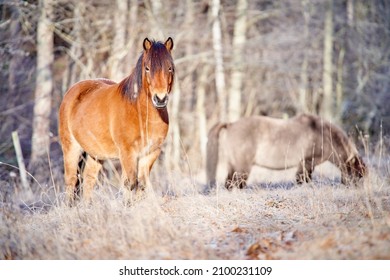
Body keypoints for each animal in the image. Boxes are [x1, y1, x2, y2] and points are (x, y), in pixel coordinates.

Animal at [59, 37, 175, 203]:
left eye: (170, 68)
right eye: (147, 68)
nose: (160, 99)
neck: (140, 113)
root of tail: (72, 91)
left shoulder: (152, 152)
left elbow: (141, 183)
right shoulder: (127, 153)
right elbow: (130, 183)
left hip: (96, 154)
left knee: (89, 180)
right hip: (71, 148)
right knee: (71, 180)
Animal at [206, 114, 368, 190]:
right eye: (357, 174)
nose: (357, 189)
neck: (322, 135)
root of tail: (231, 124)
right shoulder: (308, 161)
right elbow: (303, 178)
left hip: (233, 165)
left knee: (228, 183)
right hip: (242, 167)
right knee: (237, 183)